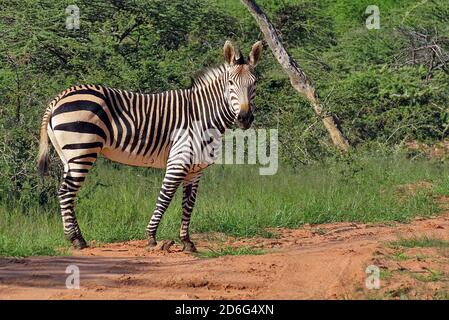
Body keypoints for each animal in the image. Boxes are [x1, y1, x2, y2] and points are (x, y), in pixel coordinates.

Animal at [39, 40, 262, 251]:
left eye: (255, 83)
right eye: (230, 83)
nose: (244, 118)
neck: (202, 115)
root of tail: (60, 97)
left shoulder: (195, 169)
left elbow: (188, 204)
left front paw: (187, 242)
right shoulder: (178, 161)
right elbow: (165, 197)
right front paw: (151, 237)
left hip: (68, 156)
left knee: (67, 192)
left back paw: (78, 238)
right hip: (82, 149)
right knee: (66, 192)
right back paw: (76, 240)